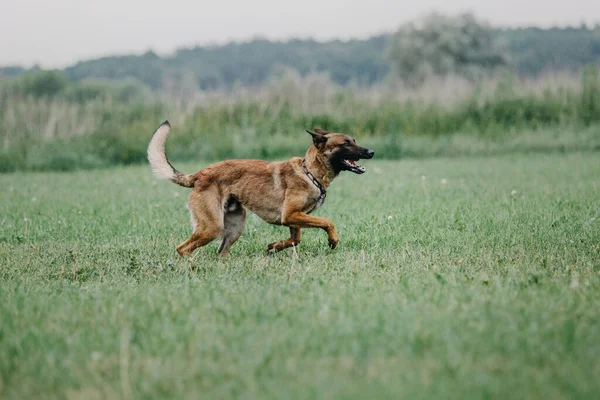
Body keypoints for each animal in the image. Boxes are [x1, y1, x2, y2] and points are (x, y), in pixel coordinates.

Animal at [148, 120, 372, 256]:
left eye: (354, 140)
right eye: (345, 143)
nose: (371, 152)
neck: (309, 172)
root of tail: (199, 174)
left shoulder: (293, 218)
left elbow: (295, 239)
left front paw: (274, 247)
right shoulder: (291, 215)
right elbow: (327, 222)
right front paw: (333, 240)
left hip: (235, 227)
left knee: (220, 252)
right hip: (212, 227)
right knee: (182, 249)